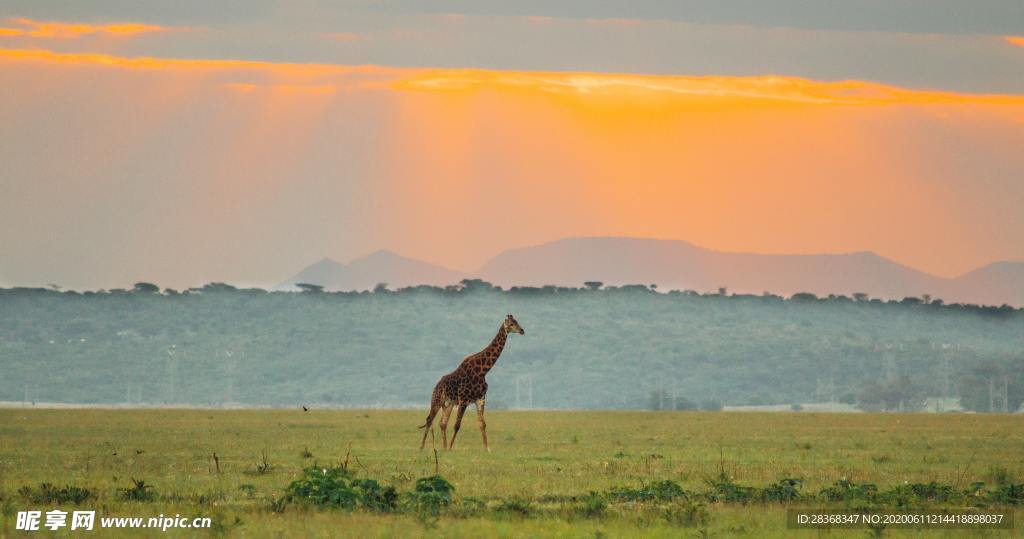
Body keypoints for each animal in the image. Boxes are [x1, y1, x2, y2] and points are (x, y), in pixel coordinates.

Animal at [417, 315, 524, 454]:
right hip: (437, 399)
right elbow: (457, 425)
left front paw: (487, 448)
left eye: (516, 322)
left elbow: (482, 424)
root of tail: (437, 384)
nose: (522, 330)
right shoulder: (464, 400)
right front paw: (451, 447)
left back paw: (443, 447)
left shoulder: (480, 399)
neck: (483, 371)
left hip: (450, 403)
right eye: (511, 324)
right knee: (429, 419)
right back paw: (422, 447)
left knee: (442, 423)